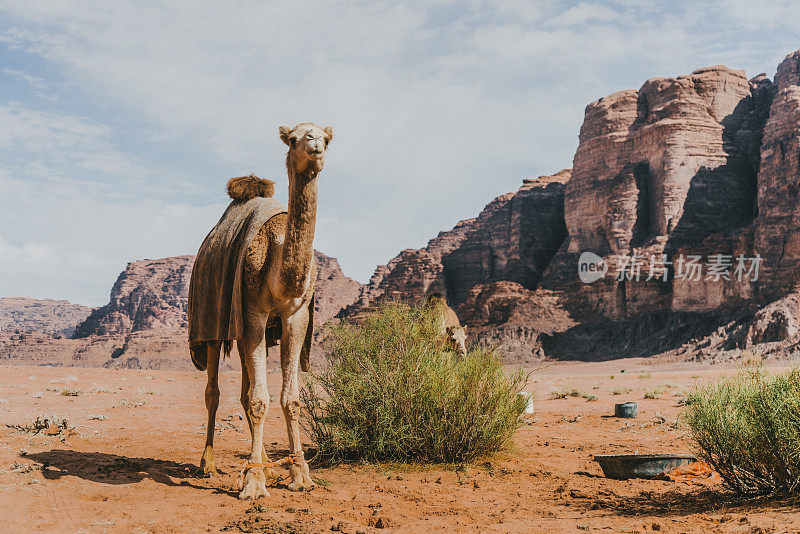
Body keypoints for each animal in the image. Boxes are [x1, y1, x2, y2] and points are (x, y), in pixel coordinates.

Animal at [188, 123, 332, 500]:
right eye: (294, 138)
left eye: (326, 139)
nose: (314, 145)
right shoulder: (252, 311)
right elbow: (258, 400)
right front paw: (253, 483)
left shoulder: (296, 316)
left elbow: (290, 400)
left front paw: (300, 474)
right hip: (215, 324)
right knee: (214, 392)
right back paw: (208, 465)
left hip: (246, 331)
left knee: (243, 390)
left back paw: (266, 460)